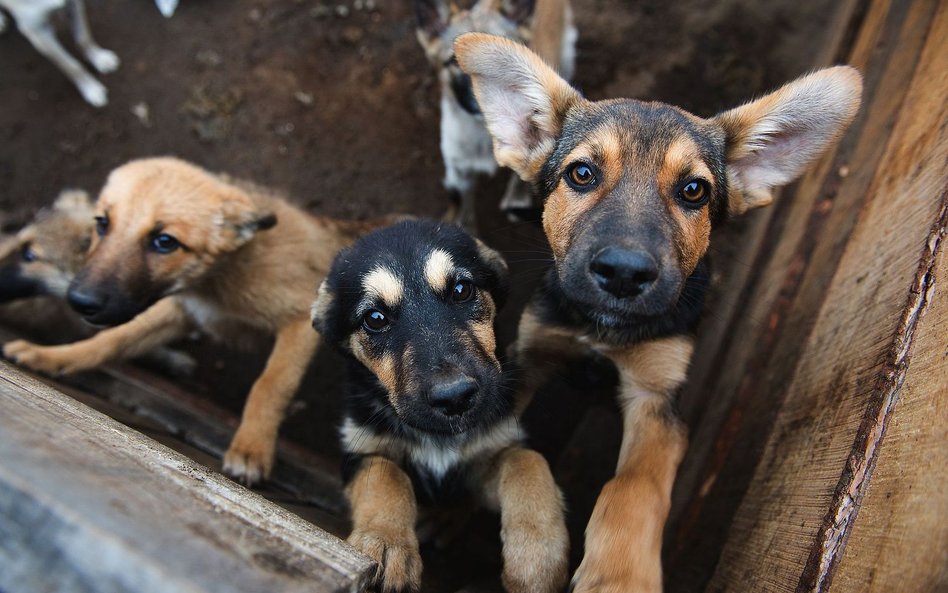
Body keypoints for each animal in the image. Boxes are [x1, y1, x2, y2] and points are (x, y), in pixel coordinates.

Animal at [1, 158, 398, 486]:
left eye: (165, 241)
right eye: (102, 223)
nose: (79, 300)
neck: (220, 277)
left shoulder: (300, 319)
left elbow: (271, 384)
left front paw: (252, 449)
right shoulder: (181, 310)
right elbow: (111, 340)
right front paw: (51, 357)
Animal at [312, 219, 568, 592]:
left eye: (461, 290)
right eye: (375, 318)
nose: (455, 397)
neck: (440, 436)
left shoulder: (490, 449)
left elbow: (527, 461)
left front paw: (539, 558)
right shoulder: (362, 449)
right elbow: (386, 477)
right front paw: (386, 543)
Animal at [456, 33, 864, 592]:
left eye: (694, 190)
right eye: (581, 174)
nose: (624, 274)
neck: (603, 332)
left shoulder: (657, 398)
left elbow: (633, 487)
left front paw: (618, 574)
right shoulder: (532, 353)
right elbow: (507, 443)